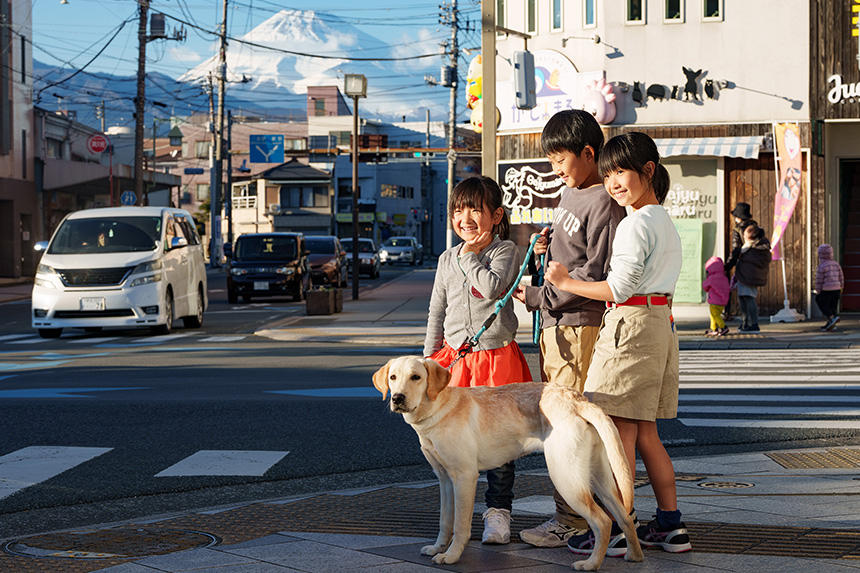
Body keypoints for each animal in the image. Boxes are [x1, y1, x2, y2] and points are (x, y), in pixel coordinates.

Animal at [372, 356, 640, 568]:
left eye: (416, 377)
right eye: (393, 377)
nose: (397, 398)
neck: (437, 408)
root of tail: (577, 400)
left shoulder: (464, 477)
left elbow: (460, 525)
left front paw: (451, 556)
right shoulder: (445, 480)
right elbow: (445, 520)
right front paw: (438, 548)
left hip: (566, 477)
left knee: (603, 521)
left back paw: (591, 563)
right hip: (600, 479)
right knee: (623, 516)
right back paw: (635, 556)